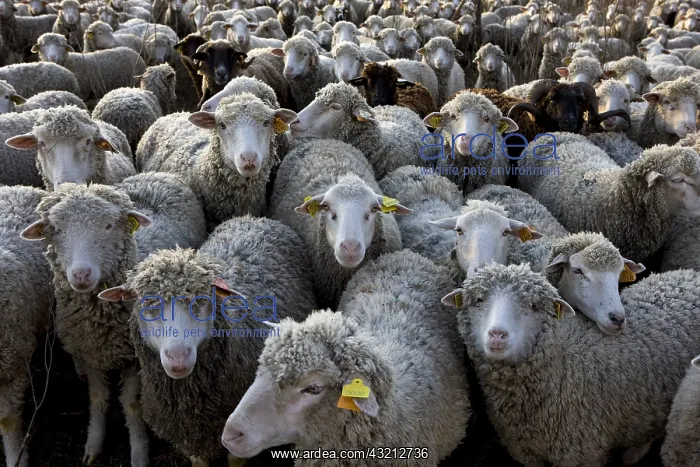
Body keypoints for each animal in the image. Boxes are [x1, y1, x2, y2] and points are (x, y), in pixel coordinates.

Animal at [20, 183, 153, 467]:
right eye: (56, 229)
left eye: (108, 226)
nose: (81, 274)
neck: (100, 319)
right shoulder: (90, 350)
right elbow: (97, 398)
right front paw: (94, 442)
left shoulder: (134, 357)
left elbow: (132, 404)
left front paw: (139, 451)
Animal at [443, 262, 700, 467]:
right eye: (479, 300)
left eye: (534, 306)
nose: (497, 335)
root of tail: (688, 275)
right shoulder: (524, 450)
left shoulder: (579, 452)